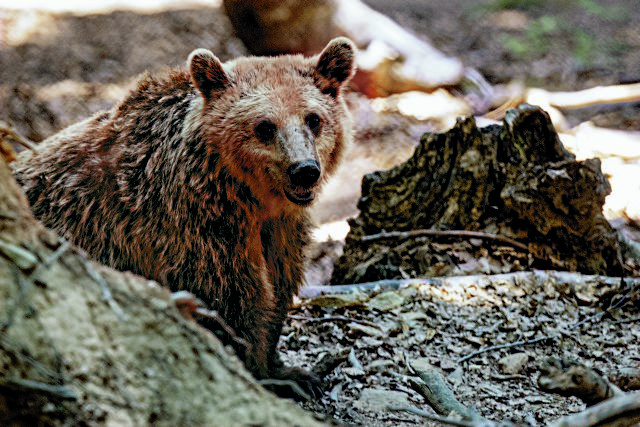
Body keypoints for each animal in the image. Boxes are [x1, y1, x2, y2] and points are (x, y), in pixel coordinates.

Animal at [15, 36, 356, 398]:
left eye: (313, 118)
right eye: (264, 126)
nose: (304, 170)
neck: (251, 197)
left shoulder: (280, 226)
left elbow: (279, 282)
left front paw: (289, 369)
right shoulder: (200, 224)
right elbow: (233, 295)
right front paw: (262, 372)